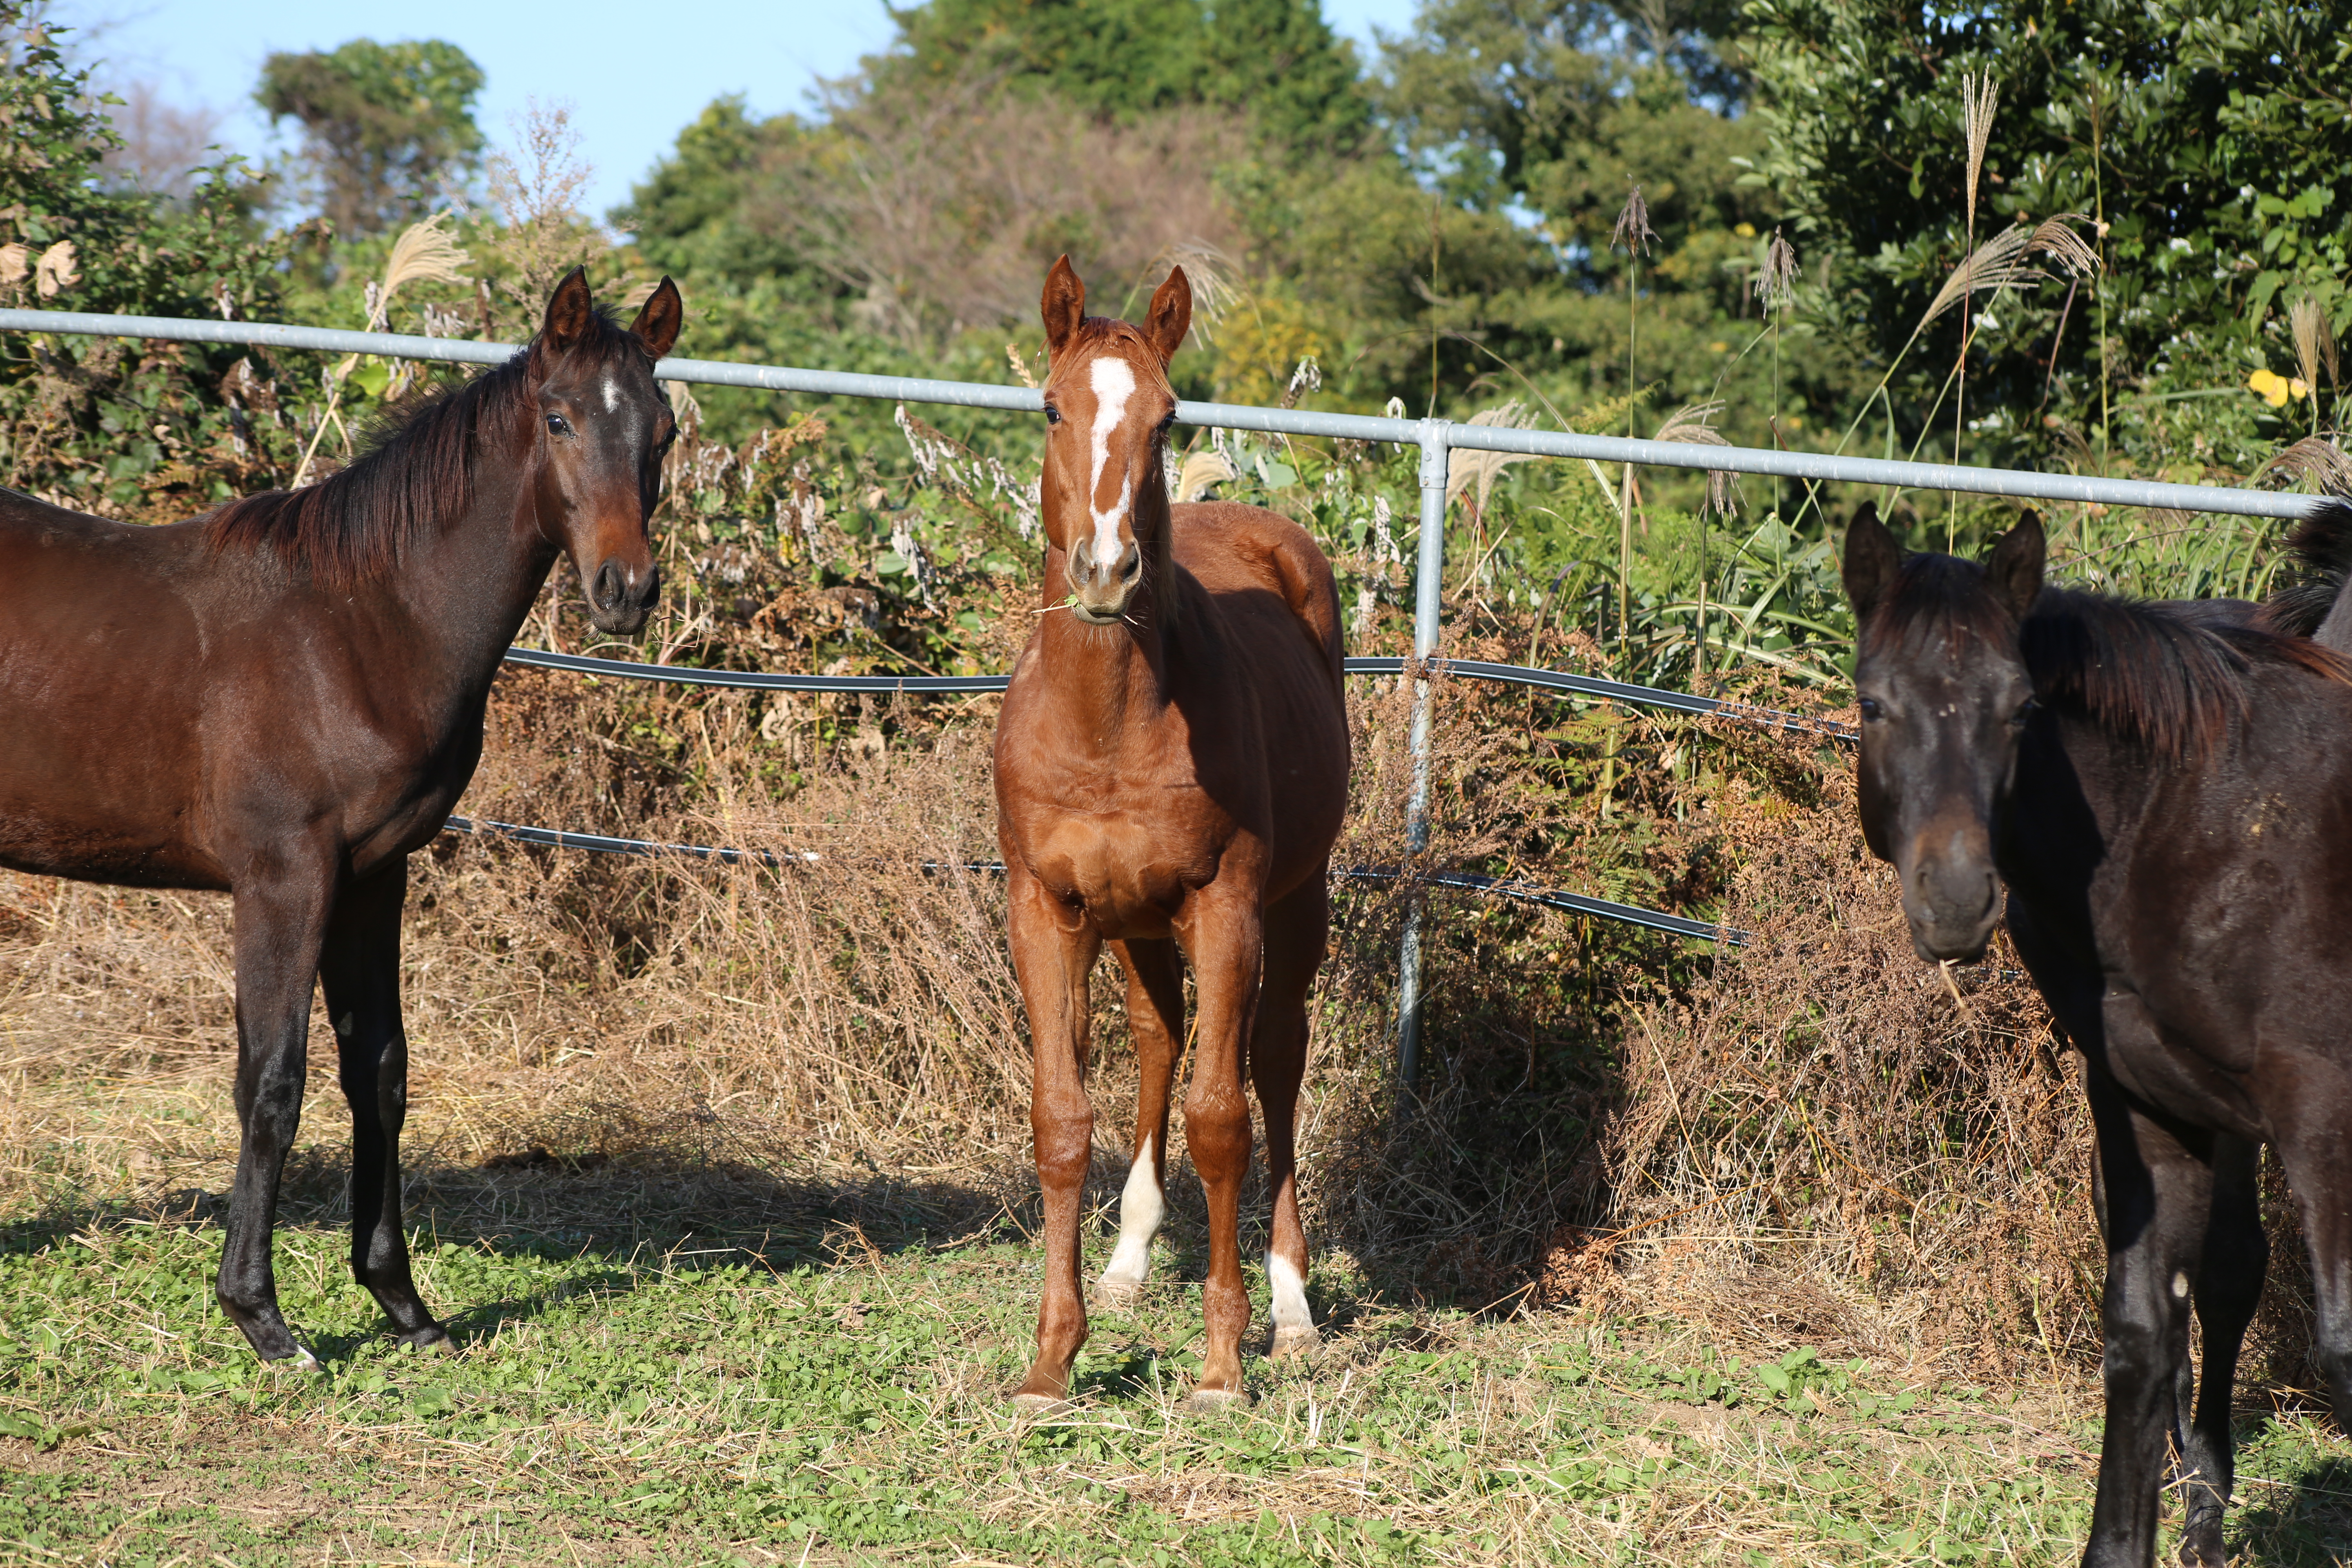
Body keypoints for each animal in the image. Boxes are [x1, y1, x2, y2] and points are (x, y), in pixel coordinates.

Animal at [0, 272, 682, 1373]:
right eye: (559, 418)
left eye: (663, 431)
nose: (626, 590)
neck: (358, 625)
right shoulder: (286, 877)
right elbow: (273, 1081)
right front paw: (264, 1319)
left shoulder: (373, 875)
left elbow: (382, 1075)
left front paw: (402, 1302)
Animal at [992, 257, 1354, 1410]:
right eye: (1051, 407)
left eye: (1167, 415)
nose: (1106, 569)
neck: (1110, 725)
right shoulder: (1045, 909)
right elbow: (1062, 1120)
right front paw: (1052, 1358)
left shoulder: (1226, 905)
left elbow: (1220, 1117)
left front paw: (1223, 1362)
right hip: (1135, 921)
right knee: (1158, 1036)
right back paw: (1126, 1260)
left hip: (1292, 902)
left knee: (1274, 1059)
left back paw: (1292, 1307)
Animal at [1844, 505, 2352, 1568]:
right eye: (1873, 704)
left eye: (2020, 709)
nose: (1956, 900)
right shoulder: (2145, 1098)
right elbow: (2140, 1334)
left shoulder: (2322, 1108)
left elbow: (2340, 1342)